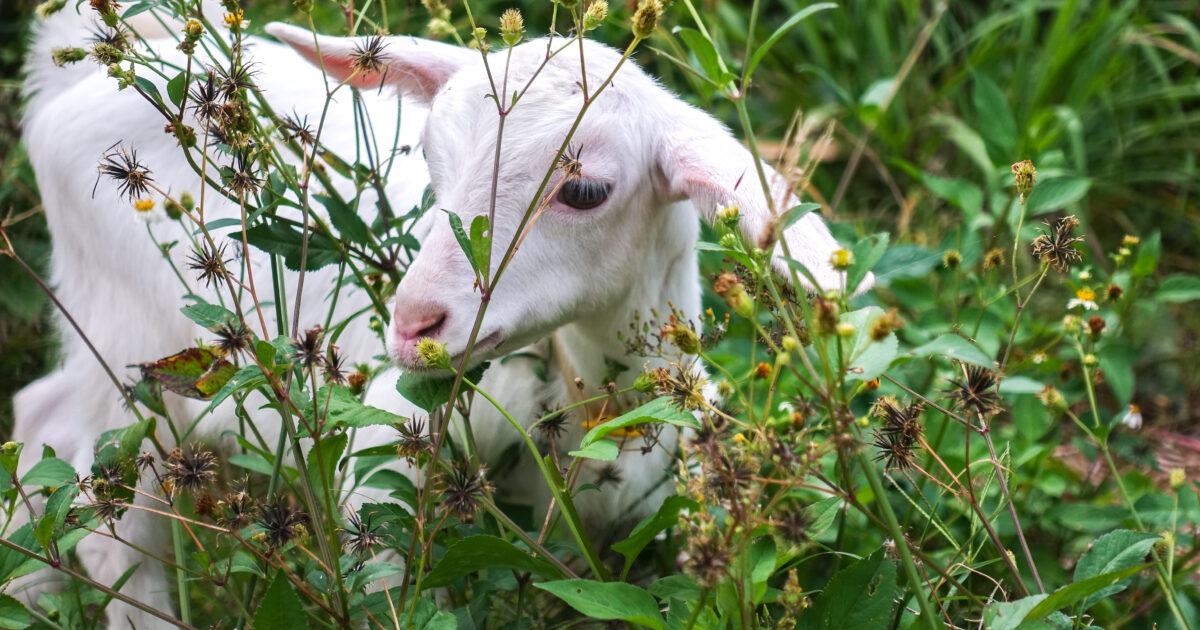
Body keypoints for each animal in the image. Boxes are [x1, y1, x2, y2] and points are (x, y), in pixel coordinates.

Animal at [18, 7, 859, 624]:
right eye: (429, 155)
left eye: (586, 191)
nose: (413, 324)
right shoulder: (379, 469)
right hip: (130, 344)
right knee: (106, 504)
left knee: (42, 417)